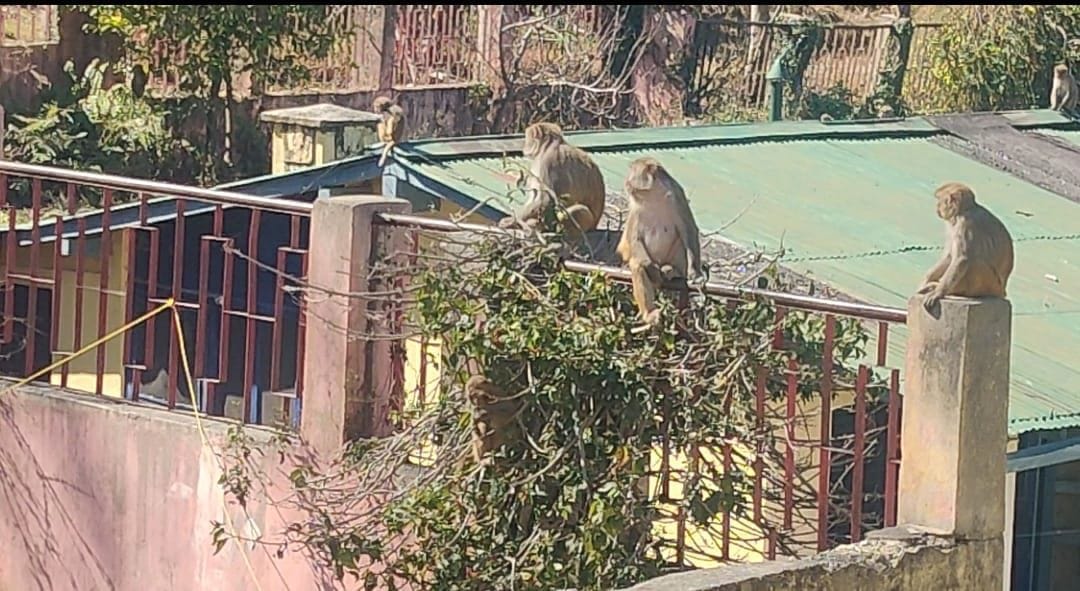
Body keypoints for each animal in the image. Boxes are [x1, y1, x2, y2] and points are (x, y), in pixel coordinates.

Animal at [617, 157, 703, 327]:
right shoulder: (635, 209)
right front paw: (651, 269)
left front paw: (695, 272)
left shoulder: (678, 197)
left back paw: (671, 270)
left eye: (632, 171)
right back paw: (649, 312)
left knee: (680, 242)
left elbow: (689, 230)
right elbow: (634, 239)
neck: (653, 196)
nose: (626, 184)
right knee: (637, 265)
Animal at [917, 182, 1015, 313]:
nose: (937, 208)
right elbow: (949, 257)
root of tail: (1003, 292)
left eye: (939, 200)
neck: (964, 210)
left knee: (975, 262)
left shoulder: (965, 224)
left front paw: (938, 293)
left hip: (991, 285)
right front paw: (926, 281)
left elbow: (961, 259)